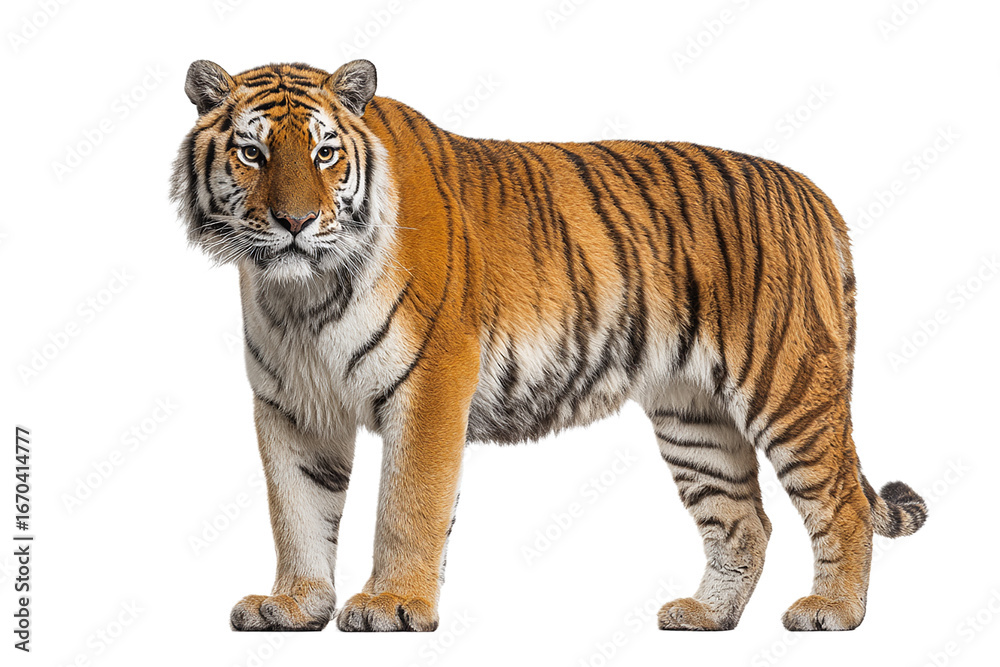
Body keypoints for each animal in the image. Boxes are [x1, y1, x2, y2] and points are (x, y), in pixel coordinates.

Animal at [170, 58, 927, 633]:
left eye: (325, 153)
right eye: (252, 152)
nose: (295, 222)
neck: (299, 294)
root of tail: (814, 195)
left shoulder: (431, 384)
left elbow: (408, 504)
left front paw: (390, 604)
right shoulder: (290, 405)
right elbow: (296, 508)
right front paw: (295, 604)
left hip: (788, 385)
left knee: (842, 502)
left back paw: (832, 612)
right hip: (694, 415)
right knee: (745, 522)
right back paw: (706, 616)